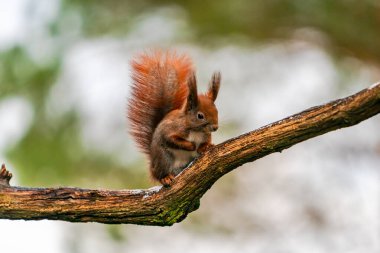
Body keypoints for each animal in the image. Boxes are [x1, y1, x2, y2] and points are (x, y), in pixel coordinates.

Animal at [127, 50, 220, 186]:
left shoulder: (206, 134)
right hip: (164, 158)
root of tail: (152, 166)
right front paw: (191, 146)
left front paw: (206, 147)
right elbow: (171, 140)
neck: (196, 130)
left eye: (217, 111)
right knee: (161, 174)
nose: (215, 127)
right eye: (200, 116)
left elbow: (206, 141)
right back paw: (165, 178)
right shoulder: (171, 130)